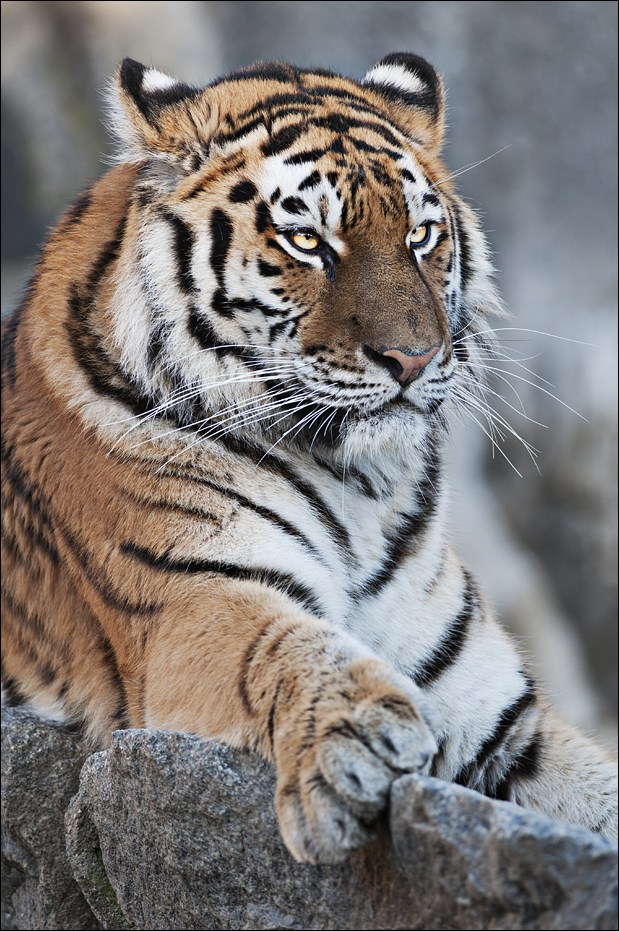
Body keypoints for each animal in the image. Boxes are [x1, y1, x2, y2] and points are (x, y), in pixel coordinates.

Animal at [2, 53, 617, 865]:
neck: (361, 481)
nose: (413, 358)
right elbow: (280, 643)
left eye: (422, 234)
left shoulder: (502, 719)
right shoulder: (191, 596)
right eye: (306, 242)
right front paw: (357, 739)